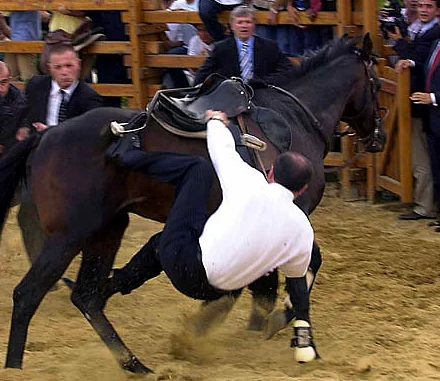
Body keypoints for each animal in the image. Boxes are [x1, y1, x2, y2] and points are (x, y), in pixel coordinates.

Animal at [0, 34, 384, 372]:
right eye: (378, 84)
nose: (378, 137)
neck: (293, 119)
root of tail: (46, 135)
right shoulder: (296, 217)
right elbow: (303, 268)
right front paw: (277, 320)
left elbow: (263, 281)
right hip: (69, 236)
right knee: (28, 295)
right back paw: (17, 366)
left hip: (107, 230)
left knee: (87, 296)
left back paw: (134, 364)